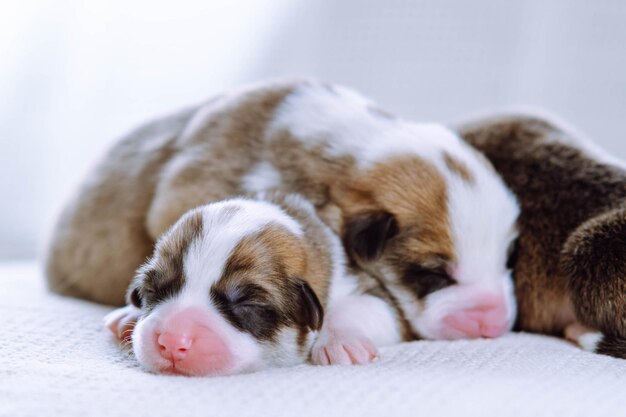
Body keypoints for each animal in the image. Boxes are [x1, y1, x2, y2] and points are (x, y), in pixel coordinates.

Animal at [105, 193, 400, 376]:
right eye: (152, 290)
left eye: (247, 303)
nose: (171, 341)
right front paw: (128, 314)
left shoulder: (369, 288)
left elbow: (361, 307)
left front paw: (343, 342)